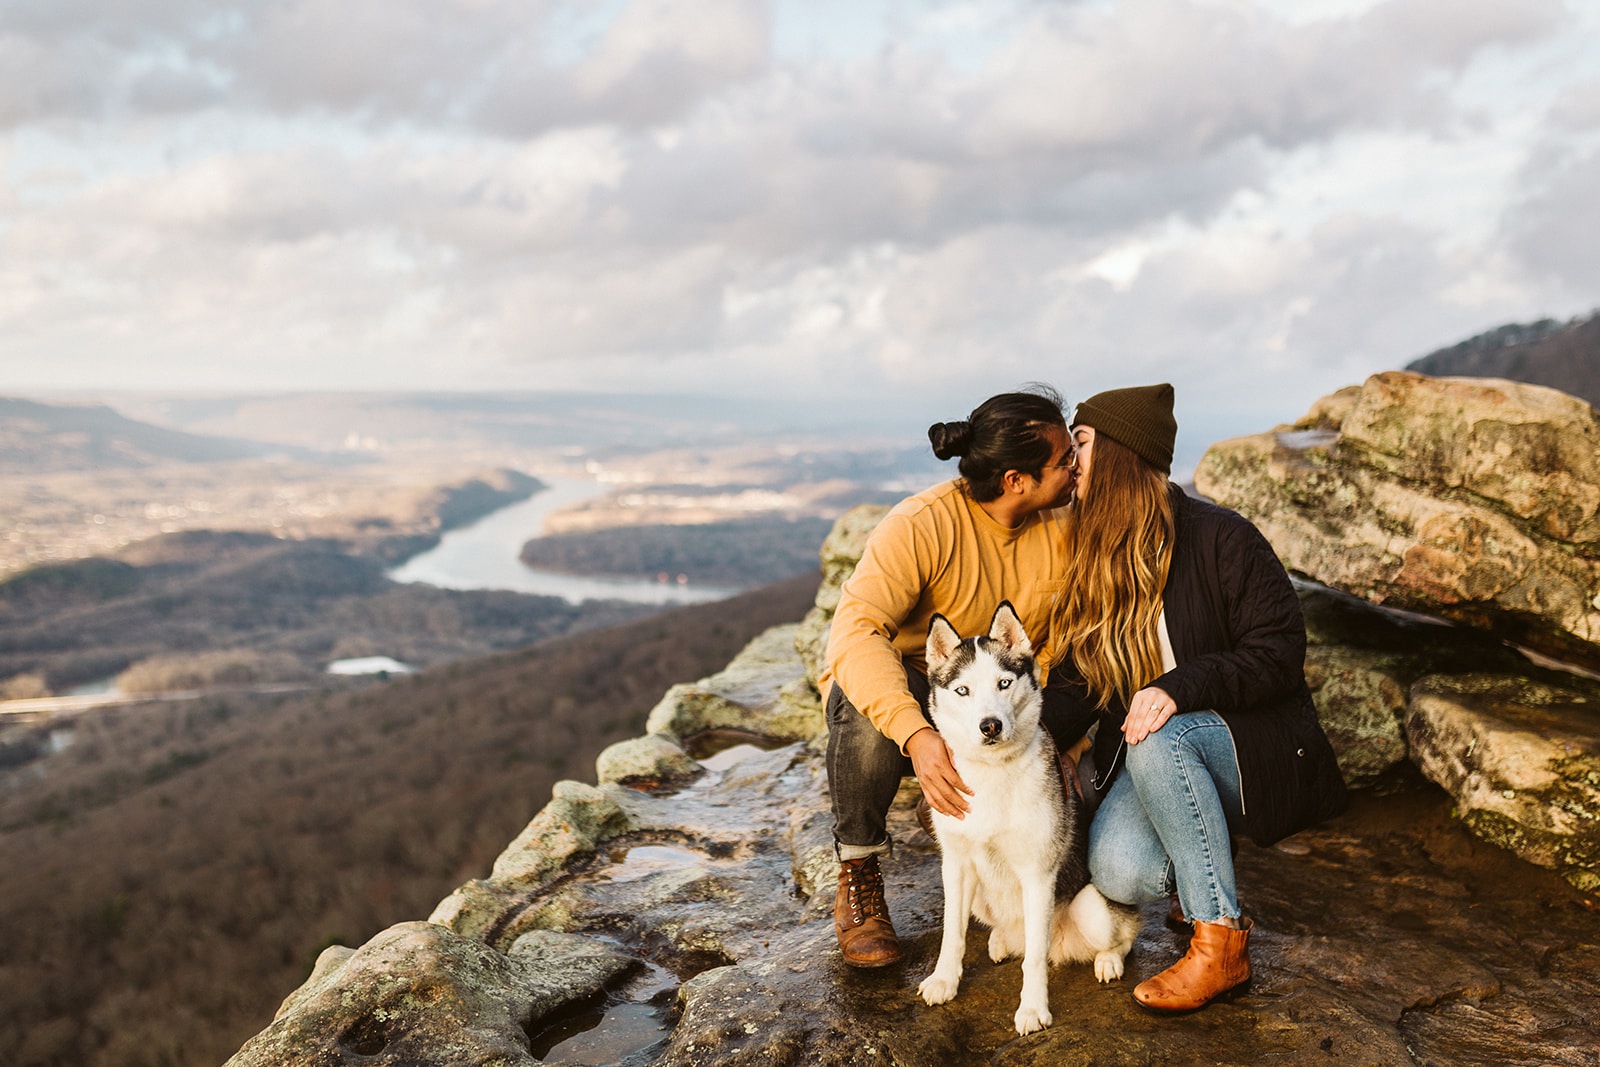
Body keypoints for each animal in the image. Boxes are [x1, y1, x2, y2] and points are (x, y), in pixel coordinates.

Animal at [915, 601, 1139, 1036]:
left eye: (1004, 683)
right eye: (963, 690)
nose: (990, 725)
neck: (992, 774)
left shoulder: (1038, 875)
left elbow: (1034, 959)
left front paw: (1033, 1008)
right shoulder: (956, 866)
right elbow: (952, 935)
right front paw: (945, 980)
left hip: (1093, 909)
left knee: (1119, 937)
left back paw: (1107, 960)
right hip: (979, 897)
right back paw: (1001, 941)